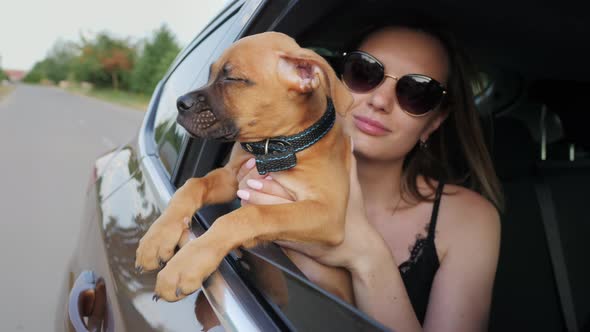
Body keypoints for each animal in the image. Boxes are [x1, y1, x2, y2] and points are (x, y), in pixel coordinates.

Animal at [136, 31, 354, 304]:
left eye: (233, 79)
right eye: (211, 73)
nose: (180, 103)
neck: (275, 147)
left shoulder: (328, 213)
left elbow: (248, 215)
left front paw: (185, 265)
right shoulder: (232, 179)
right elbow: (192, 185)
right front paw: (157, 238)